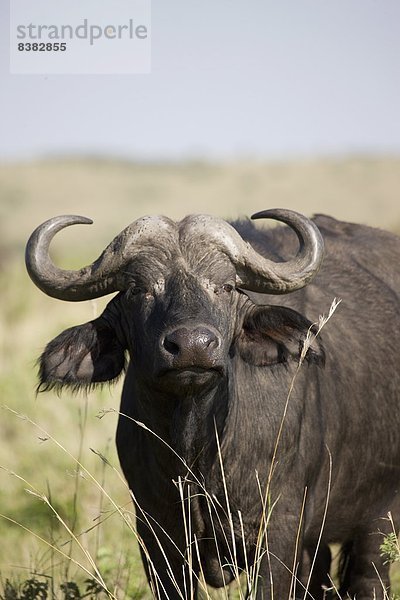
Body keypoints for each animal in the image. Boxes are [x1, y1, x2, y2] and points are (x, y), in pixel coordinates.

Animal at [25, 207, 400, 600]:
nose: (193, 345)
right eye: (139, 289)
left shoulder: (279, 530)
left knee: (369, 577)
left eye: (225, 287)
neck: (198, 451)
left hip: (380, 519)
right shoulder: (157, 536)